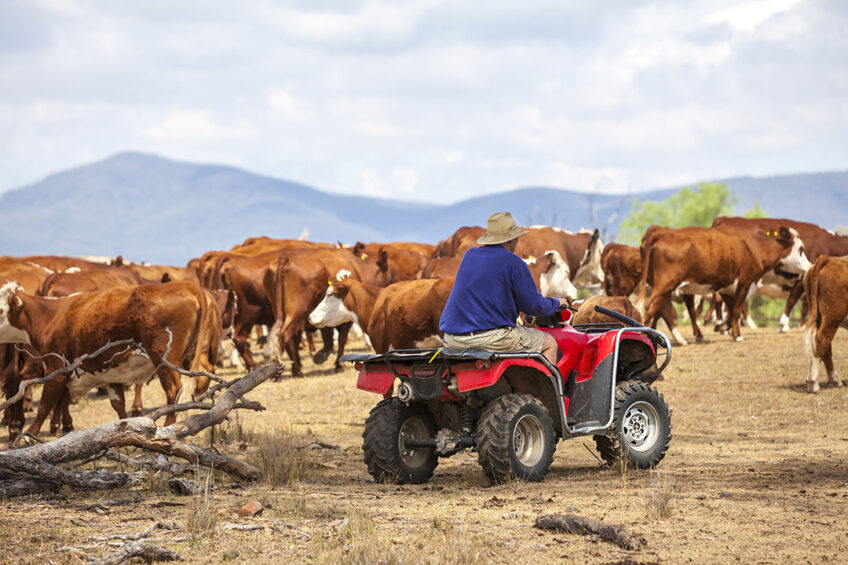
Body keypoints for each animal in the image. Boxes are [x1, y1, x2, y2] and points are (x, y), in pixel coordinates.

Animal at [800, 256, 848, 392]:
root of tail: (829, 259)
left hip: (819, 316)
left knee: (819, 342)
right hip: (832, 317)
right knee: (821, 341)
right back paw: (813, 383)